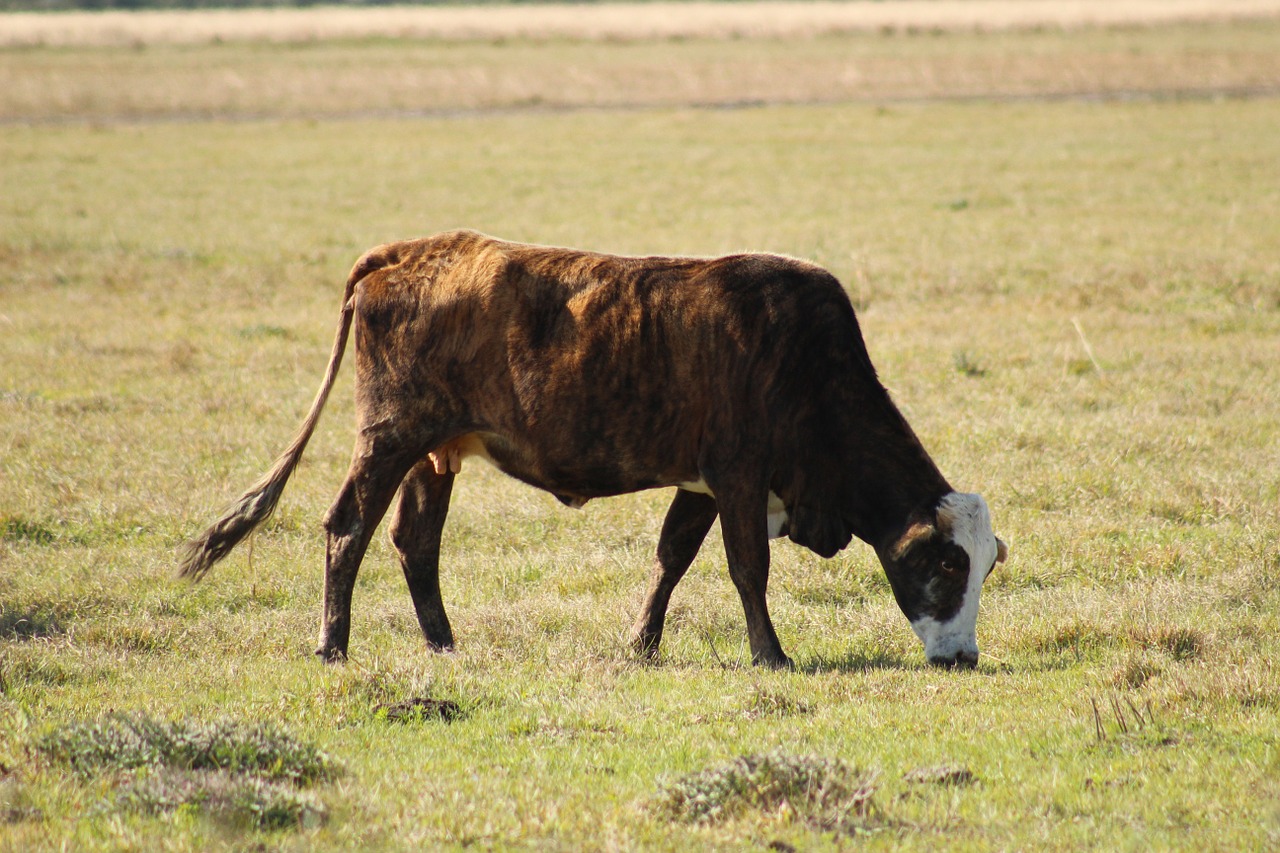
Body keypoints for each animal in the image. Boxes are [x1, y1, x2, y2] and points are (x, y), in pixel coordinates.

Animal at [180, 229, 1003, 666]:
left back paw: (445, 645)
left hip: (432, 453)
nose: (963, 657)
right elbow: (748, 568)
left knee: (415, 541)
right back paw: (333, 644)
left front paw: (642, 644)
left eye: (987, 563)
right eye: (947, 564)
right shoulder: (738, 475)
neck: (804, 362)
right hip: (388, 439)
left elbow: (672, 559)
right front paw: (770, 654)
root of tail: (409, 251)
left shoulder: (699, 484)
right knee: (348, 527)